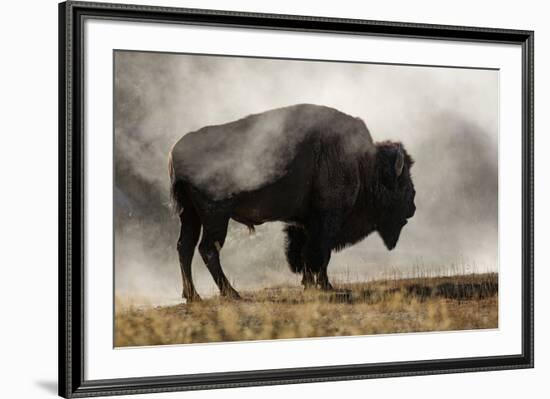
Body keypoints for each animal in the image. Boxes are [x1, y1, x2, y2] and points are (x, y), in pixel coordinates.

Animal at [169, 104, 418, 302]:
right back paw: (231, 293)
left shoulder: (305, 223)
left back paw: (193, 296)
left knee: (185, 247)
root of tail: (175, 151)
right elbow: (321, 253)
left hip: (190, 215)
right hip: (215, 216)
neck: (362, 162)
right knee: (208, 249)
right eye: (403, 181)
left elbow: (306, 253)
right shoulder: (328, 220)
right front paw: (325, 285)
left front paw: (309, 284)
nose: (413, 206)